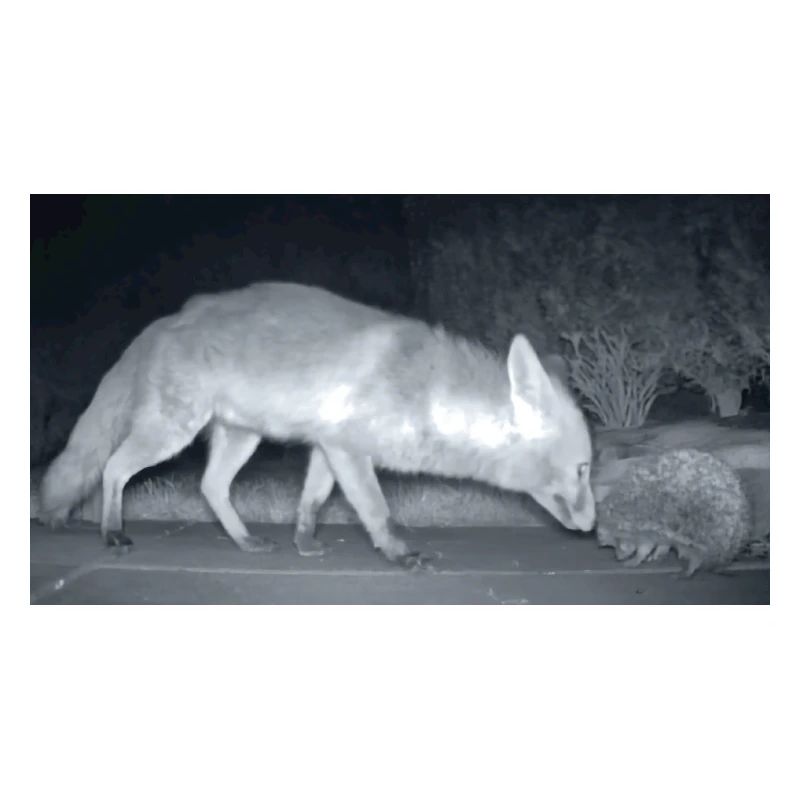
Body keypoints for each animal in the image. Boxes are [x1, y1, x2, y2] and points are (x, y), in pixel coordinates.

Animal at [39, 282, 596, 565]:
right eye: (583, 470)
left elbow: (310, 503)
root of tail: (164, 322)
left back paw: (245, 541)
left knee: (210, 487)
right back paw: (111, 532)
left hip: (241, 438)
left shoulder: (331, 446)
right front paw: (399, 554)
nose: (594, 527)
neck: (426, 393)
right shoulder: (349, 450)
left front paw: (304, 544)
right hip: (170, 433)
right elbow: (377, 511)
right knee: (112, 469)